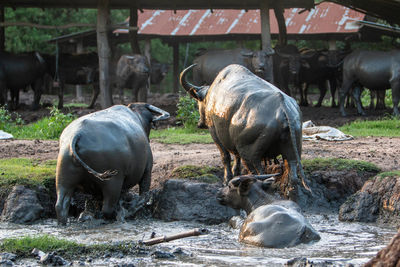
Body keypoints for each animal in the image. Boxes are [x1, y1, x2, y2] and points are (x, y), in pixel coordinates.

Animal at [180, 64, 310, 199]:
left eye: (198, 102)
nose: (200, 124)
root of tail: (283, 107)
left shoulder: (214, 132)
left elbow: (225, 156)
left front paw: (227, 179)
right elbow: (236, 157)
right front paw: (235, 174)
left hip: (251, 155)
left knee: (260, 175)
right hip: (292, 151)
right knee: (293, 175)